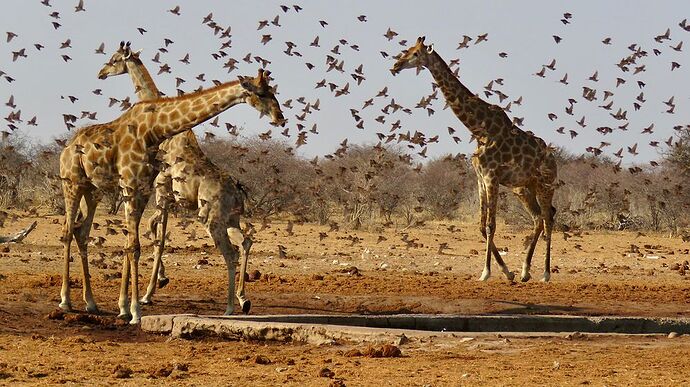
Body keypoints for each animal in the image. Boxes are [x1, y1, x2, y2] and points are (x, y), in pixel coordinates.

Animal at [59, 44, 284, 324]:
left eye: (271, 91)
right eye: (263, 92)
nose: (280, 117)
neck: (155, 130)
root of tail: (67, 147)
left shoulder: (145, 189)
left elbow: (139, 242)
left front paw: (130, 306)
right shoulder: (143, 186)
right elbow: (141, 242)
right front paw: (135, 306)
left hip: (93, 191)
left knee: (80, 232)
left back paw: (90, 303)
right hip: (73, 183)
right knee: (69, 231)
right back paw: (67, 301)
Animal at [390, 38, 556, 284]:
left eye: (416, 53)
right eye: (407, 49)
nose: (396, 66)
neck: (480, 130)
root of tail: (554, 158)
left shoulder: (492, 177)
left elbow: (490, 225)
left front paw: (486, 272)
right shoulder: (480, 178)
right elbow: (480, 225)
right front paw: (508, 271)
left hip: (545, 185)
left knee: (548, 217)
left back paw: (545, 273)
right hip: (524, 188)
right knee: (538, 218)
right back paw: (525, 271)